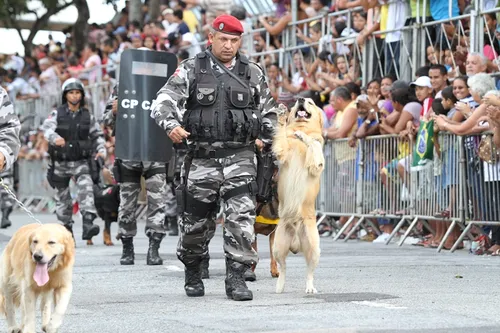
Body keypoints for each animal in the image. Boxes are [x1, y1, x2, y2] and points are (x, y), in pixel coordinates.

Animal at [272, 96, 326, 294]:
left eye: (311, 102)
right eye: (297, 102)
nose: (301, 98)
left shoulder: (316, 164)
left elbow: (314, 142)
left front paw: (304, 137)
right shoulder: (283, 151)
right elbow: (282, 135)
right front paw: (281, 117)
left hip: (313, 247)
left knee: (309, 271)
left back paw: (310, 288)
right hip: (278, 245)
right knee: (282, 267)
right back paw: (279, 287)